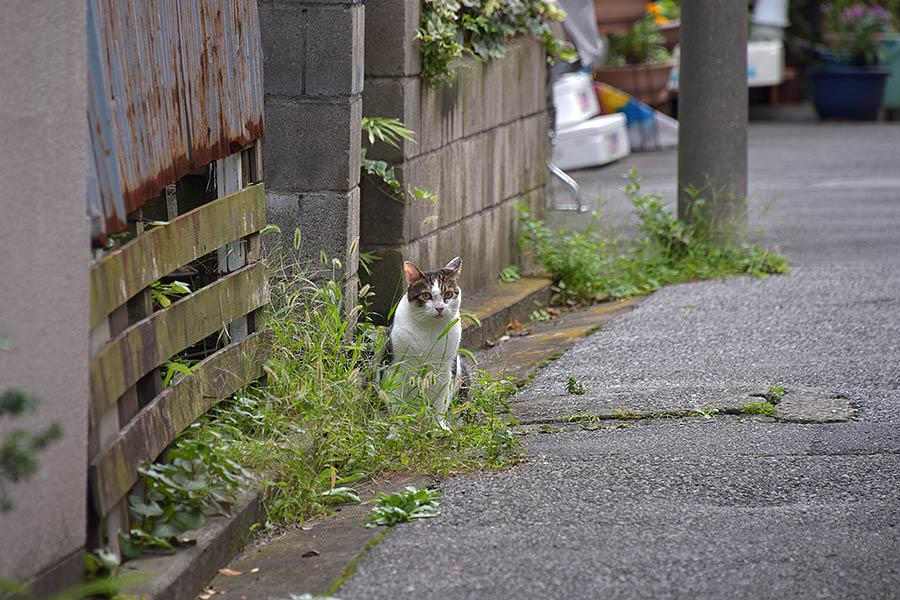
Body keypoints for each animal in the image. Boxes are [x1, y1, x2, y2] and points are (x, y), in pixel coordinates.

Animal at [386, 255, 464, 428]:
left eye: (448, 294)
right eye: (426, 295)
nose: (440, 308)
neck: (430, 329)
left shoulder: (445, 369)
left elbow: (440, 402)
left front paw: (439, 426)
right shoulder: (397, 367)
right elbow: (395, 399)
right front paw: (397, 427)